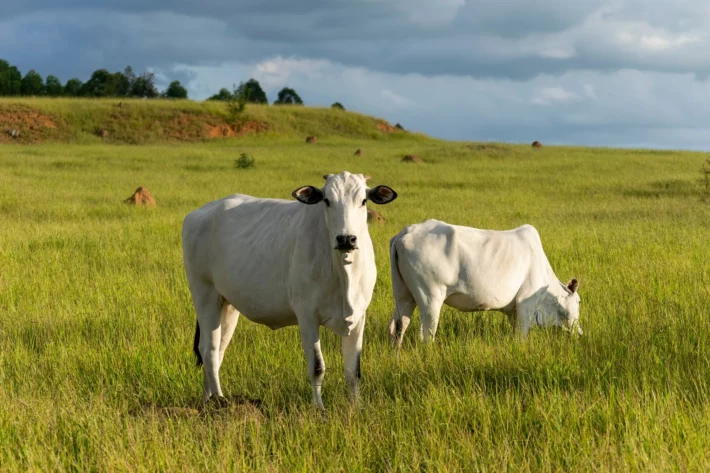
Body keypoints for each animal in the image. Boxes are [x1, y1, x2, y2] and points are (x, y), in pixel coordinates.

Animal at [182, 170, 400, 406]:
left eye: (363, 201)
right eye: (327, 200)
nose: (346, 239)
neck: (343, 273)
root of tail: (199, 213)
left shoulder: (359, 316)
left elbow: (353, 371)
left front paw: (356, 407)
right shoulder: (307, 316)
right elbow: (317, 367)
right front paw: (318, 407)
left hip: (228, 304)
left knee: (217, 349)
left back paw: (208, 400)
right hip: (204, 294)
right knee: (209, 350)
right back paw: (220, 401)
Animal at [390, 219, 584, 344]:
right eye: (579, 301)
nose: (580, 334)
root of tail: (404, 234)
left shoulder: (513, 311)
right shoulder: (526, 303)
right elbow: (521, 336)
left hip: (404, 295)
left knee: (397, 328)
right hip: (430, 298)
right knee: (426, 336)